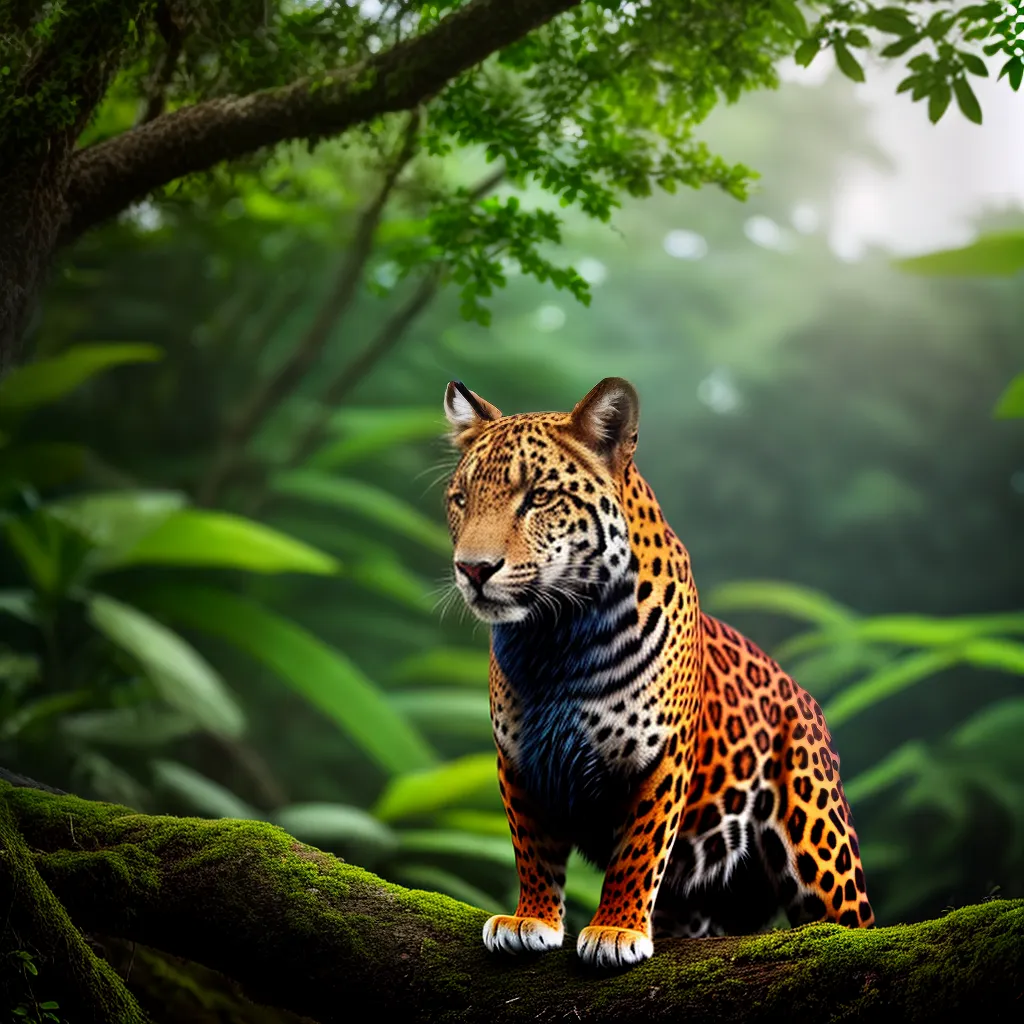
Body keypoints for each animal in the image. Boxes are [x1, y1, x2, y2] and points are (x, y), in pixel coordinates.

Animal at [442, 376, 873, 969]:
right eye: (461, 499)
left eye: (538, 497)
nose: (473, 569)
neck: (554, 637)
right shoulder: (518, 758)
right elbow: (531, 848)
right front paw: (531, 920)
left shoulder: (659, 757)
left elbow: (639, 851)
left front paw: (616, 930)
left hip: (820, 844)